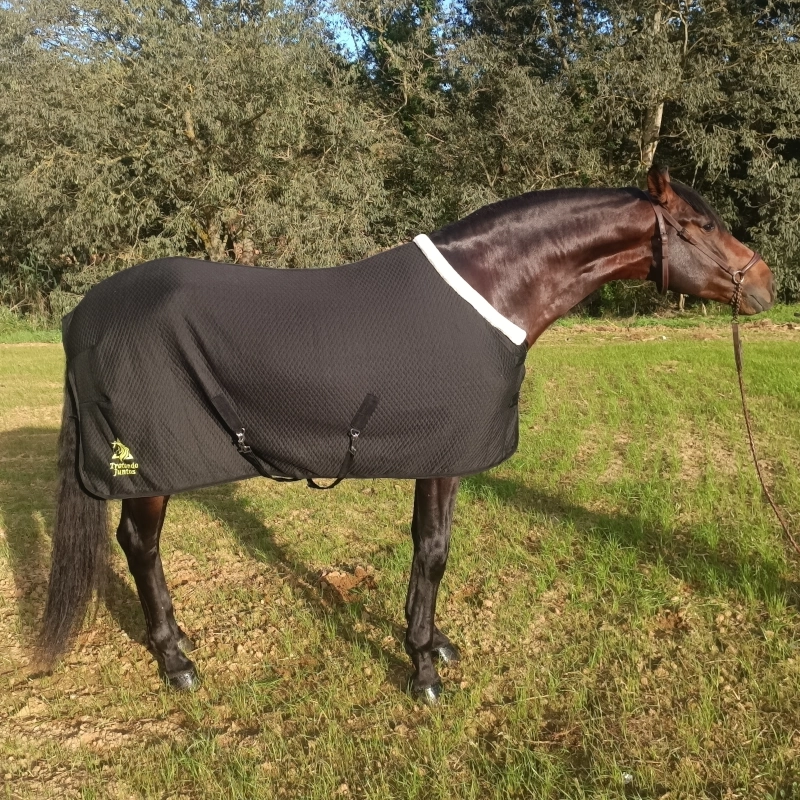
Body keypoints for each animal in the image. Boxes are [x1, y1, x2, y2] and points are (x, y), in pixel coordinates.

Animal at [38, 166, 775, 704]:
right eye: (699, 224)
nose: (765, 282)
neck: (493, 290)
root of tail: (84, 311)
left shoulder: (438, 456)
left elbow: (428, 547)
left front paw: (432, 641)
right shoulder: (443, 457)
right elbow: (434, 551)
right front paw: (423, 668)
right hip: (145, 468)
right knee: (140, 545)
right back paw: (175, 660)